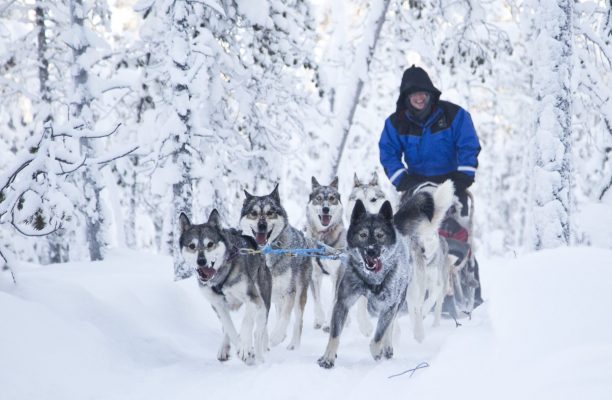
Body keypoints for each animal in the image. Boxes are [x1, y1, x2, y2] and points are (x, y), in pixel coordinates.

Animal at [179, 211, 270, 364]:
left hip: (263, 305)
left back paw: (259, 357)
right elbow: (229, 328)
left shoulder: (253, 298)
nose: (201, 261)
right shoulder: (219, 304)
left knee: (258, 333)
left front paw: (245, 348)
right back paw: (225, 348)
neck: (220, 277)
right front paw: (241, 347)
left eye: (210, 244)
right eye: (192, 246)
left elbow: (246, 322)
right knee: (225, 328)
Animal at [239, 184, 314, 350]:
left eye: (270, 212)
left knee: (297, 319)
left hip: (299, 293)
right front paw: (263, 343)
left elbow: (285, 317)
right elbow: (263, 323)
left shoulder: (290, 292)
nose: (262, 225)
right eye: (253, 213)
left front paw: (276, 337)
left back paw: (293, 343)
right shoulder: (260, 295)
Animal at [304, 176, 346, 332]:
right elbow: (317, 301)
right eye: (319, 198)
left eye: (332, 198)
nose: (325, 209)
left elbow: (333, 301)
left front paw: (328, 323)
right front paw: (320, 319)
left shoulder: (337, 275)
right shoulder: (314, 274)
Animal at [316, 200, 412, 368]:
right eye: (363, 235)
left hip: (398, 302)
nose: (371, 251)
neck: (371, 279)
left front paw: (377, 352)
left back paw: (387, 347)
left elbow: (378, 336)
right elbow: (334, 335)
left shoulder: (389, 306)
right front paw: (328, 357)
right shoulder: (342, 303)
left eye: (380, 235)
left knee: (391, 325)